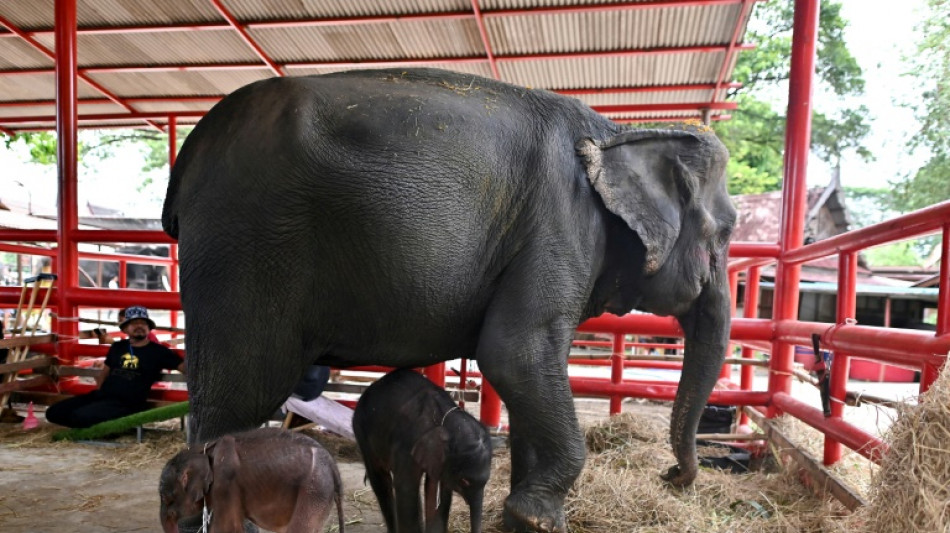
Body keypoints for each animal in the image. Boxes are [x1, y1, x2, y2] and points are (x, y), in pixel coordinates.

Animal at [160, 426, 346, 533]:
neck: (203, 450)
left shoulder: (225, 483)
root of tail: (333, 466)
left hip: (314, 490)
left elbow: (226, 528)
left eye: (167, 498)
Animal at [354, 368, 494, 532]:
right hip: (361, 429)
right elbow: (406, 489)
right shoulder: (407, 443)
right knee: (380, 479)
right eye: (465, 481)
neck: (444, 418)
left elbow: (437, 491)